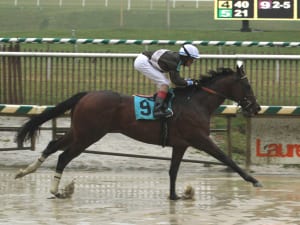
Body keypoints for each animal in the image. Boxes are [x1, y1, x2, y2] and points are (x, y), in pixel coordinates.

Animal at [15, 60, 262, 200]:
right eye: (247, 85)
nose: (256, 107)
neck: (196, 102)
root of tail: (87, 94)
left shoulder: (181, 144)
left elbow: (173, 170)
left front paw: (175, 196)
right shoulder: (200, 138)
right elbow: (226, 158)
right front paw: (253, 180)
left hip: (79, 131)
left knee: (52, 146)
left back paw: (26, 172)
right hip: (88, 135)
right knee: (64, 156)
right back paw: (56, 191)